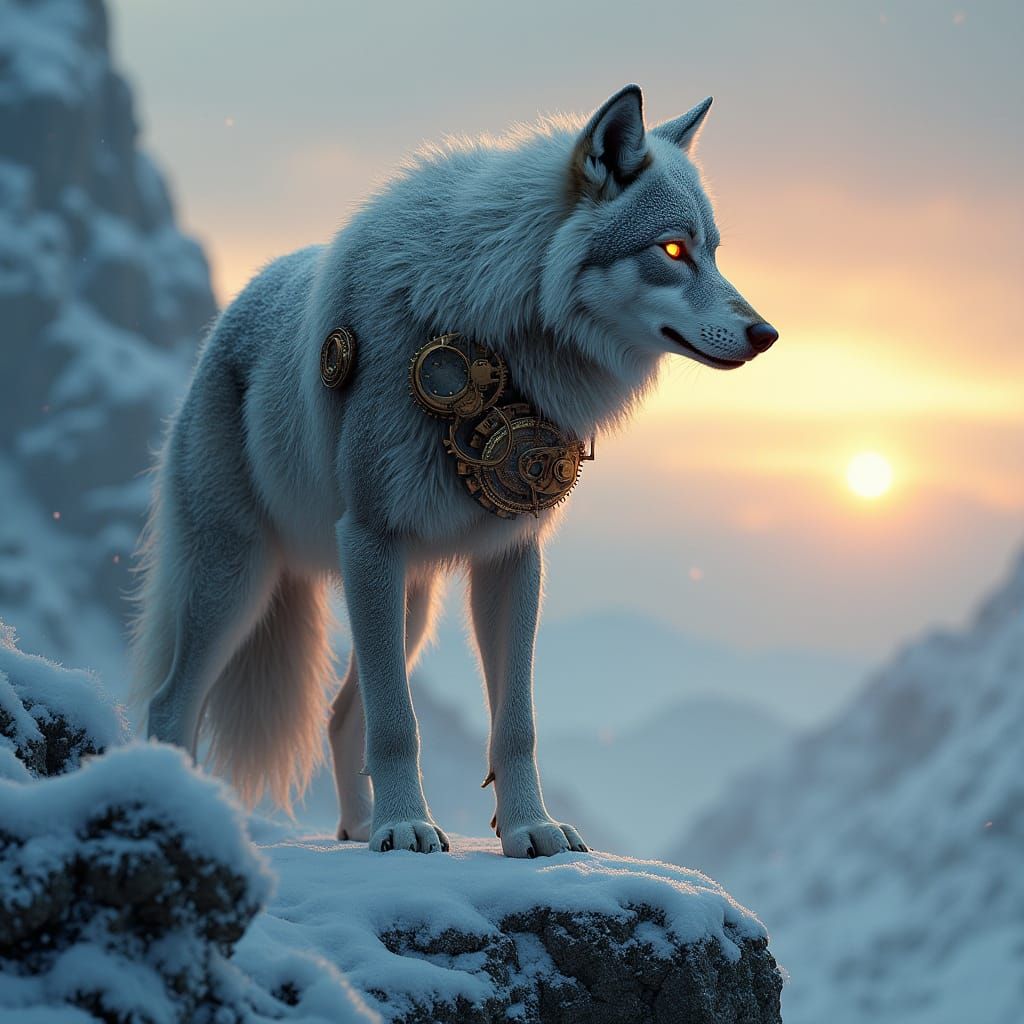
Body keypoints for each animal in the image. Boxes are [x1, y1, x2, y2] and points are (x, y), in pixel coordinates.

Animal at [132, 84, 777, 858]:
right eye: (673, 250)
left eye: (712, 252)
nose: (767, 333)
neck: (494, 319)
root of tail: (222, 326)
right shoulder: (370, 537)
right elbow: (400, 724)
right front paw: (408, 826)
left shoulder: (512, 557)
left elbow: (515, 724)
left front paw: (529, 829)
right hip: (243, 581)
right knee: (172, 703)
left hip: (403, 607)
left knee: (340, 716)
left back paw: (358, 830)